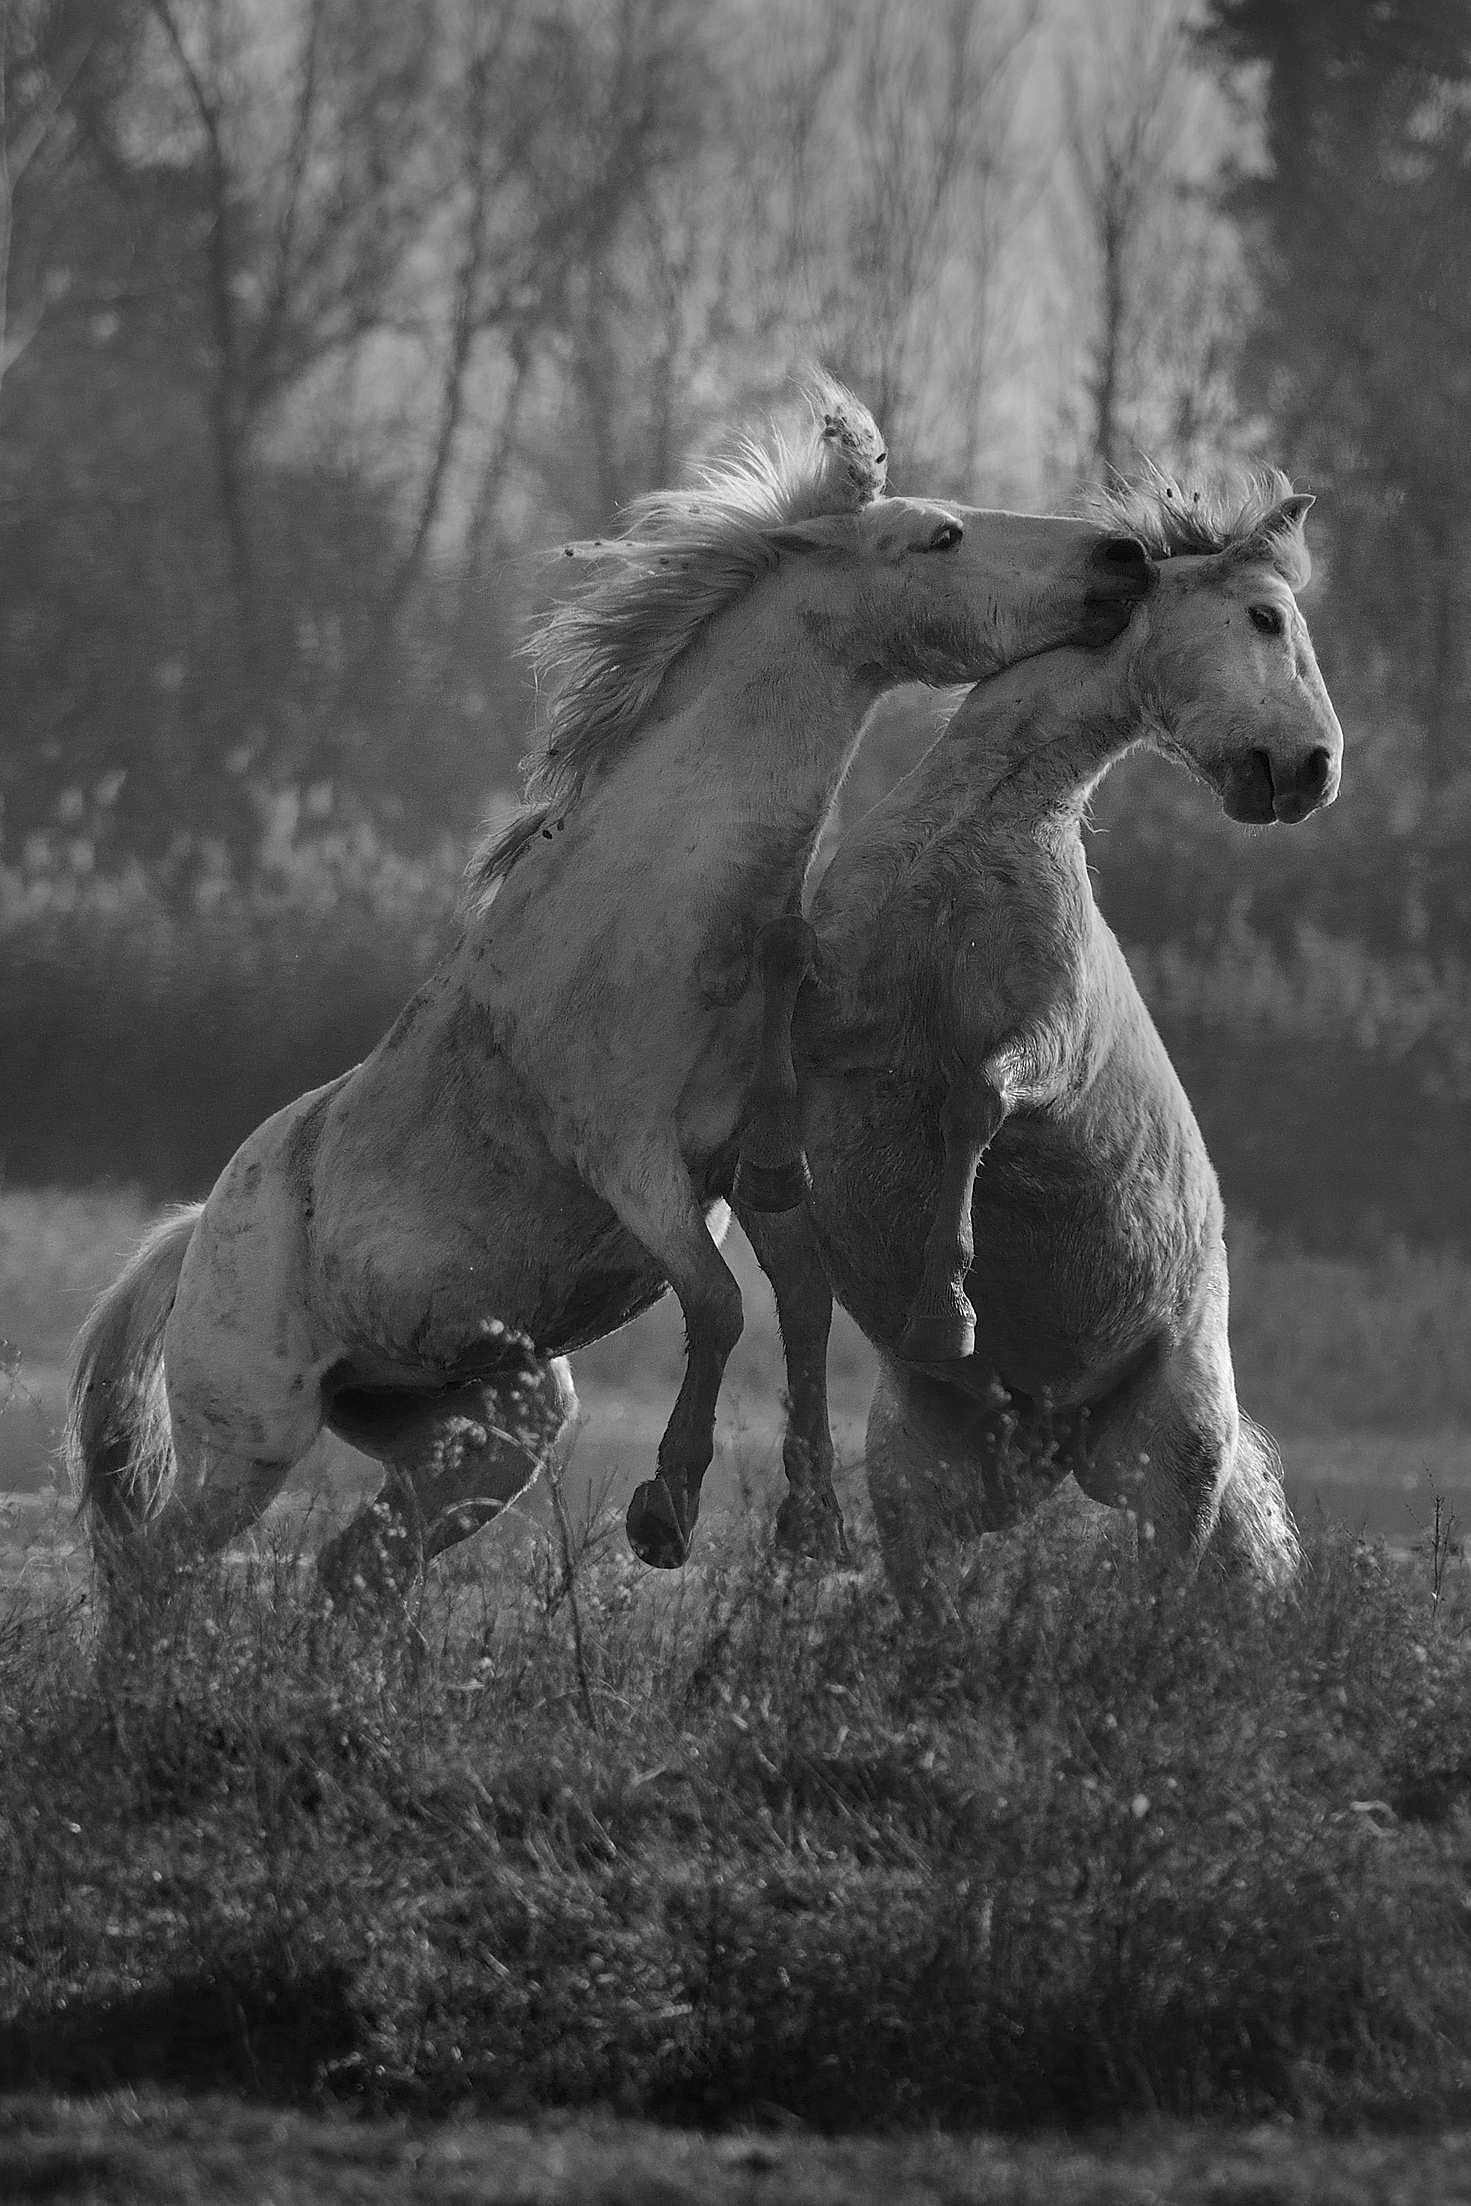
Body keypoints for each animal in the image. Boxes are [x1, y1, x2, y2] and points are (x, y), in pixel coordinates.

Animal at [67, 377, 1154, 1598]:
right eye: (940, 535)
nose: (1122, 557)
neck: (661, 917)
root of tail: (197, 1230)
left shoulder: (752, 1168)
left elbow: (800, 1306)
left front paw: (807, 1520)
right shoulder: (629, 1158)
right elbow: (720, 1307)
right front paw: (666, 1510)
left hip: (491, 1428)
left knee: (355, 1571)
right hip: (247, 1442)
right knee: (149, 1574)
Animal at [738, 475, 1342, 1606]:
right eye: (1265, 617)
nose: (1314, 771)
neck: (969, 836)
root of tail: (1050, 1445)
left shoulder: (1048, 1040)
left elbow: (975, 1099)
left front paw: (946, 1312)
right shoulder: (834, 1015)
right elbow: (782, 988)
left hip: (1173, 1465)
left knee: (1161, 1598)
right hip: (919, 1490)